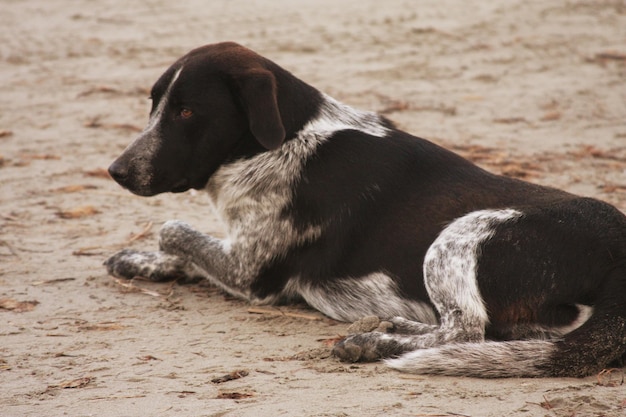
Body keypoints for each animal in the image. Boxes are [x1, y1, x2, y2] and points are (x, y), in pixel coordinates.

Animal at [103, 41, 624, 376]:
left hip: (458, 236)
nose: (116, 170)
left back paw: (375, 342)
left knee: (465, 332)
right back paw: (390, 325)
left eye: (187, 112)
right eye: (154, 104)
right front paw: (143, 262)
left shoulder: (250, 273)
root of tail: (616, 247)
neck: (284, 141)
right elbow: (178, 245)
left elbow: (172, 228)